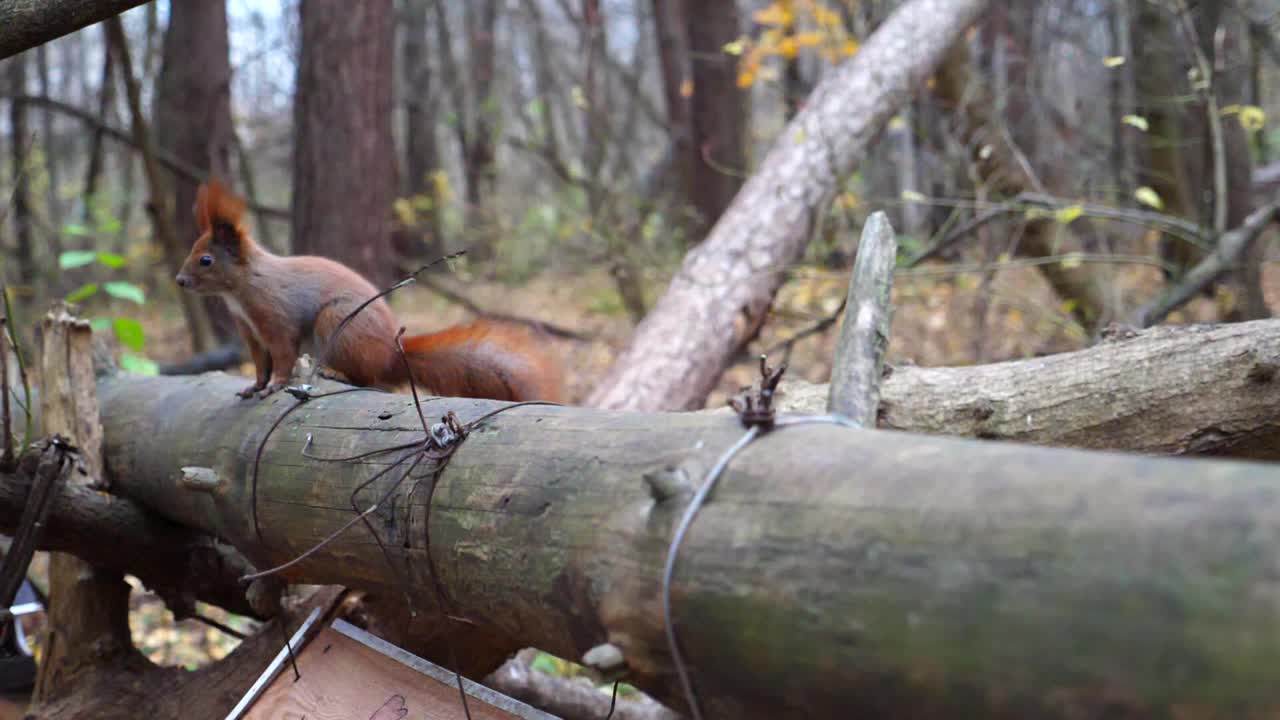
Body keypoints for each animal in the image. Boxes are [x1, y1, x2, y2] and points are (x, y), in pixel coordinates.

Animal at [174, 178, 560, 404]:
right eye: (192, 249)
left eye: (206, 260)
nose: (179, 280)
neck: (241, 289)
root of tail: (392, 354)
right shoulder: (250, 331)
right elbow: (259, 363)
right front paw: (254, 386)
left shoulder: (275, 318)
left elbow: (282, 356)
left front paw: (275, 385)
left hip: (337, 324)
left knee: (370, 379)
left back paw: (337, 373)